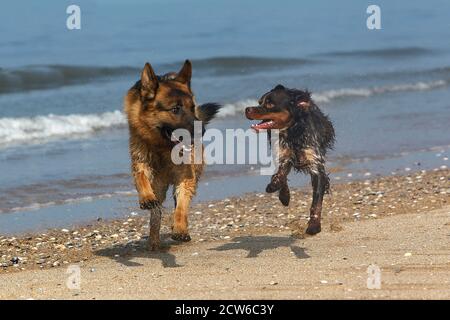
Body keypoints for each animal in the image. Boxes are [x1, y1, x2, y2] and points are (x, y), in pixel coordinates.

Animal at [125, 60, 220, 250]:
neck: (162, 146)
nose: (202, 131)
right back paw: (154, 241)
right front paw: (146, 197)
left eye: (192, 108)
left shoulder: (185, 177)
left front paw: (180, 229)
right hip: (159, 187)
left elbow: (181, 207)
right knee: (156, 215)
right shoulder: (141, 162)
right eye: (175, 109)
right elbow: (141, 177)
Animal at [246, 85, 334, 235]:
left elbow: (316, 202)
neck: (293, 132)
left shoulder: (315, 165)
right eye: (259, 102)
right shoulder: (283, 155)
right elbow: (280, 175)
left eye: (270, 103)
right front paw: (279, 190)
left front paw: (314, 225)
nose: (247, 109)